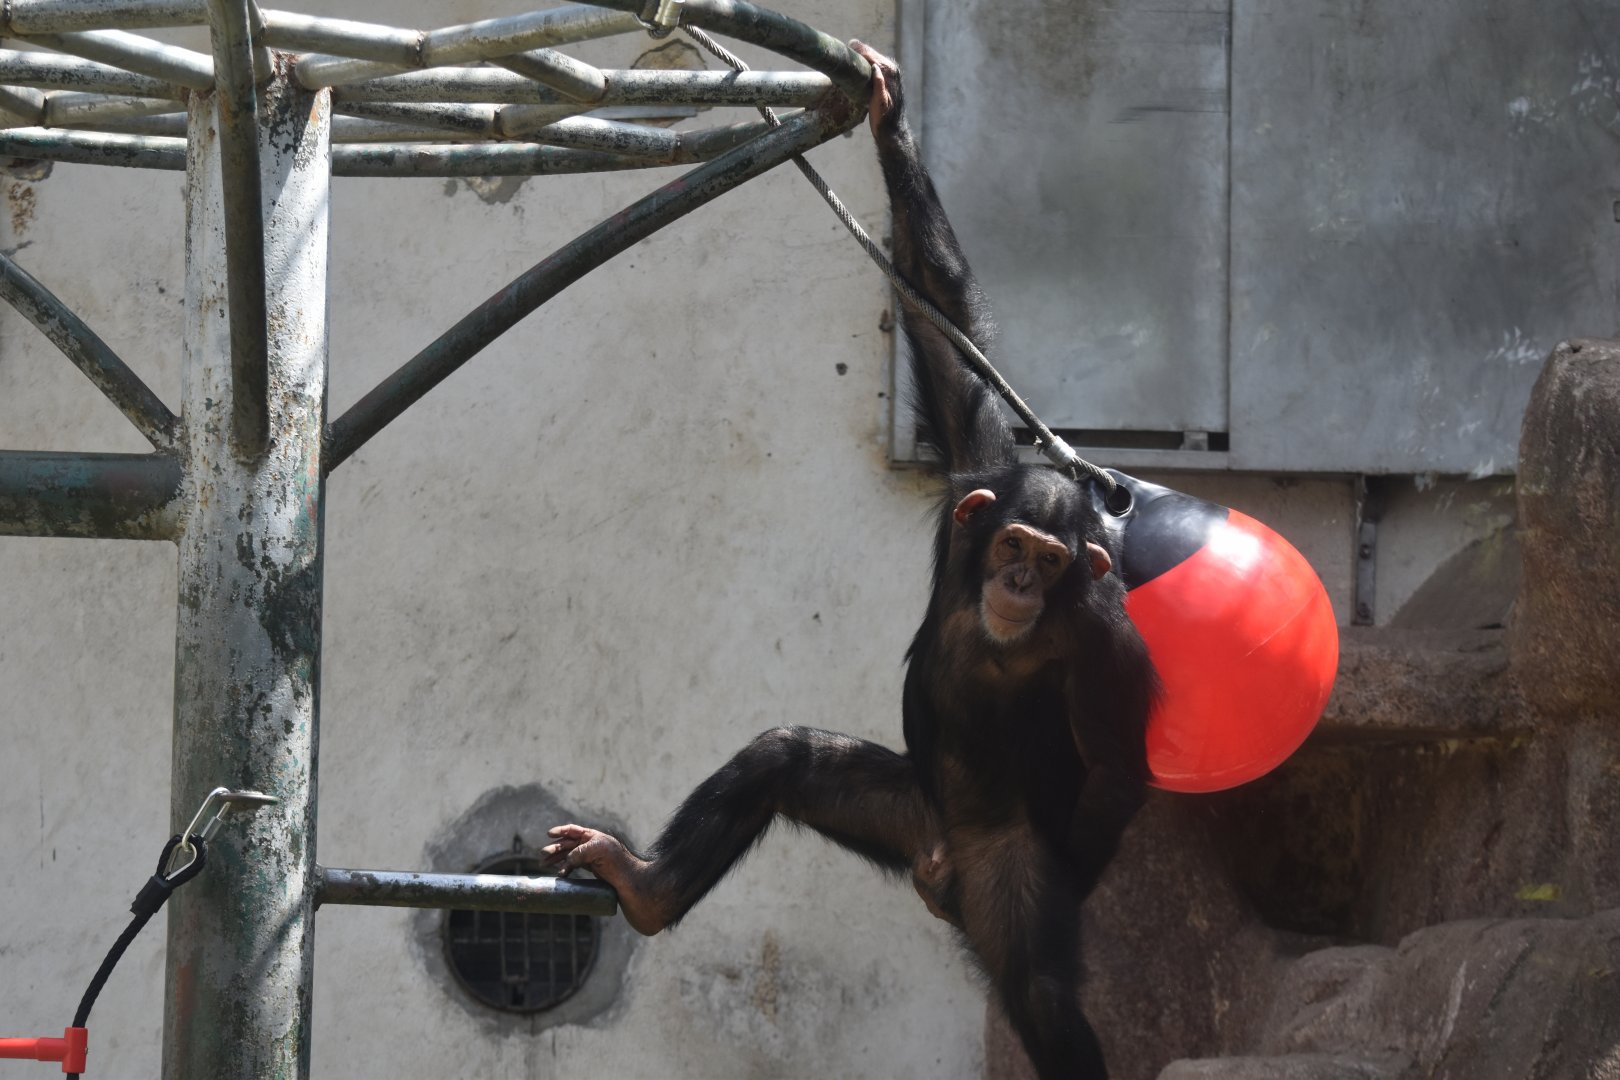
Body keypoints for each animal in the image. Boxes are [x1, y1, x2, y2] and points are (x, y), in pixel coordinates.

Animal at [543, 42, 1159, 1080]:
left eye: (1048, 561)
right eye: (1012, 546)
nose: (1018, 582)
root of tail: (947, 865)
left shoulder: (1105, 637)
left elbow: (1118, 759)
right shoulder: (972, 479)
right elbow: (950, 338)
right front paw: (887, 116)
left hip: (1005, 876)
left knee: (1040, 991)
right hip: (903, 809)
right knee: (783, 759)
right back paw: (649, 887)